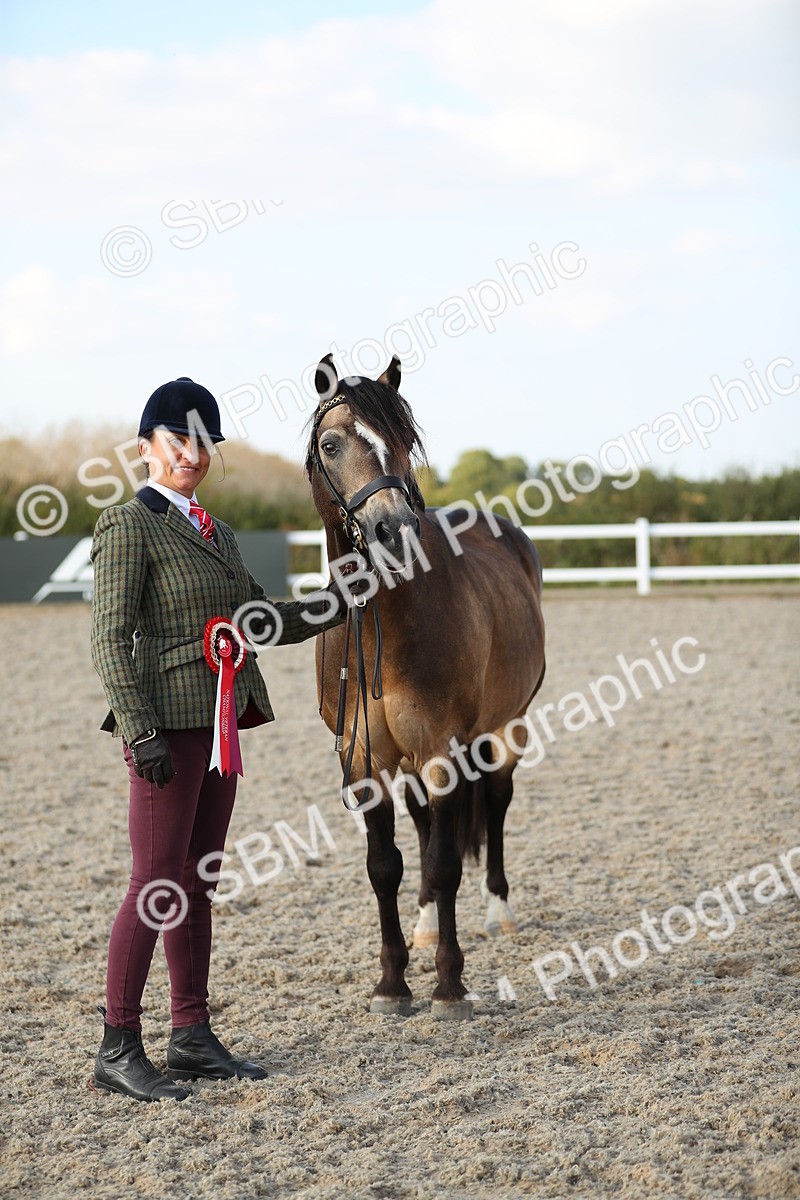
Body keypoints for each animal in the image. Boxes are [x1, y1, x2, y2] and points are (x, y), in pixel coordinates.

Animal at [306, 353, 546, 1020]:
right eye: (331, 443)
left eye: (404, 441)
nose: (393, 530)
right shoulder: (361, 758)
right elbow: (384, 865)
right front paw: (392, 982)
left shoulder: (443, 749)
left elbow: (443, 864)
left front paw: (449, 986)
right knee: (420, 826)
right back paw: (426, 924)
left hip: (505, 728)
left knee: (495, 804)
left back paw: (497, 912)